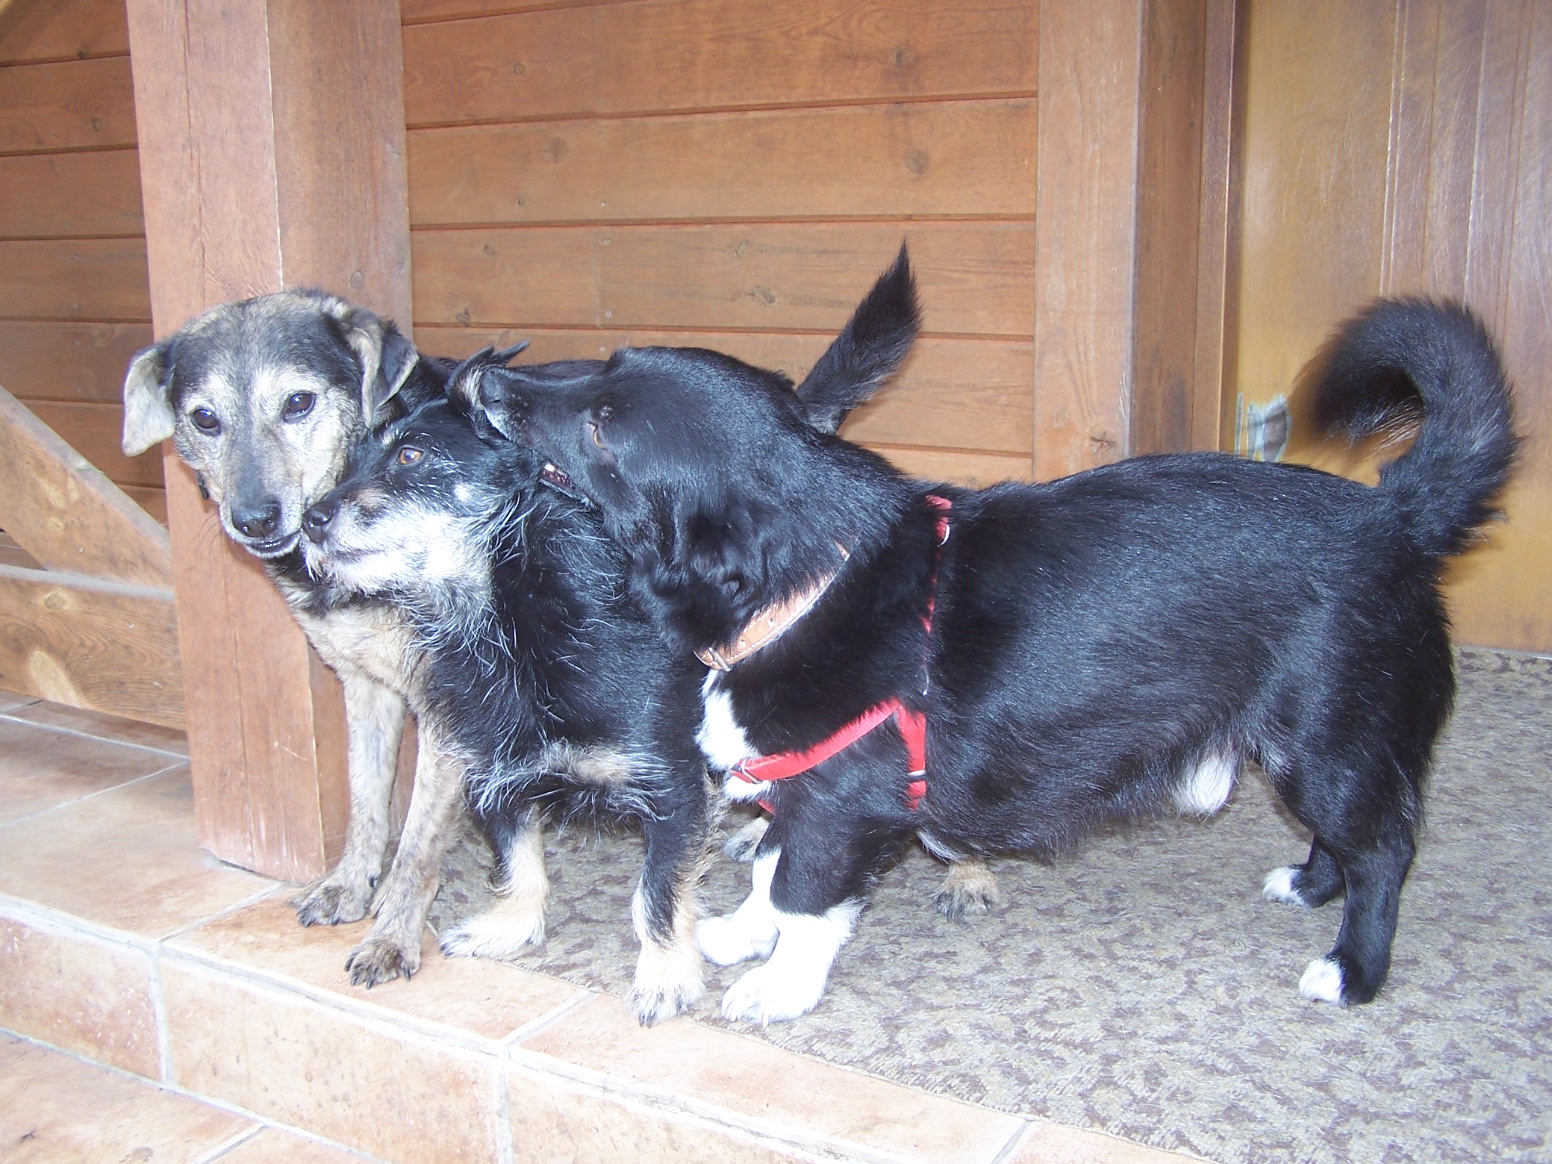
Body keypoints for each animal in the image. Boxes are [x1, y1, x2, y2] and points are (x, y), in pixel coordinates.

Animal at [120, 291, 533, 986]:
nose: (255, 519)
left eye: (297, 402)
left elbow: (417, 846)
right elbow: (366, 802)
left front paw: (392, 936)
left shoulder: (449, 704)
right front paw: (350, 885)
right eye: (204, 418)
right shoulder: (365, 686)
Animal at [295, 352, 714, 1023]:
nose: (309, 521)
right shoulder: (492, 773)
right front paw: (509, 928)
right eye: (347, 464)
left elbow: (657, 893)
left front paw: (666, 976)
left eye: (410, 455)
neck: (513, 620)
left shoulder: (673, 786)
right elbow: (519, 861)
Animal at [459, 247, 1519, 1022]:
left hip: (1329, 743)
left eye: (604, 421)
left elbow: (804, 891)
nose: (485, 382)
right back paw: (1307, 887)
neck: (808, 577)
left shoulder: (844, 800)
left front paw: (777, 983)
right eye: (603, 368)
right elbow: (767, 863)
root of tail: (1395, 515)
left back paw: (1351, 970)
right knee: (1347, 843)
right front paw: (739, 933)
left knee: (1384, 851)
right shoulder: (803, 786)